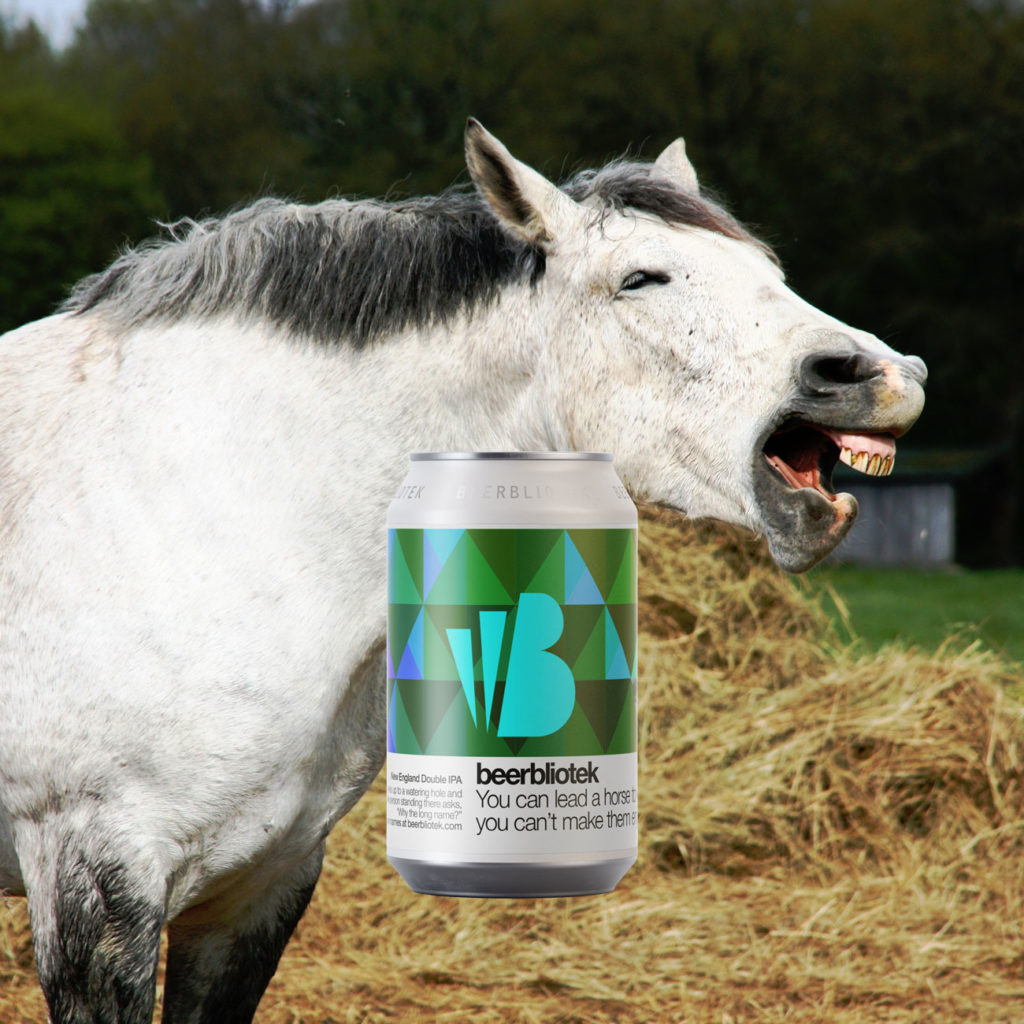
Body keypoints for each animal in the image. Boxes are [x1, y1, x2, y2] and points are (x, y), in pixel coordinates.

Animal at [0, 118, 926, 1023]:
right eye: (640, 279)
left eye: (770, 272)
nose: (879, 375)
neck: (212, 508)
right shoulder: (93, 878)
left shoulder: (261, 885)